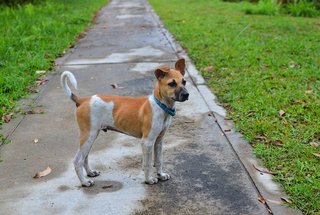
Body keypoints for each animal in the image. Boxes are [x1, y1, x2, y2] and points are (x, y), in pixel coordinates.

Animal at [60, 58, 188, 186]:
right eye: (172, 84)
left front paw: (161, 175)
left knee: (84, 157)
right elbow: (147, 164)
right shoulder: (147, 142)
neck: (160, 105)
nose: (186, 95)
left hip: (91, 137)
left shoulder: (159, 141)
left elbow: (159, 160)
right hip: (88, 135)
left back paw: (90, 173)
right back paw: (84, 182)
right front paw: (149, 179)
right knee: (77, 160)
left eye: (184, 82)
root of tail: (83, 100)